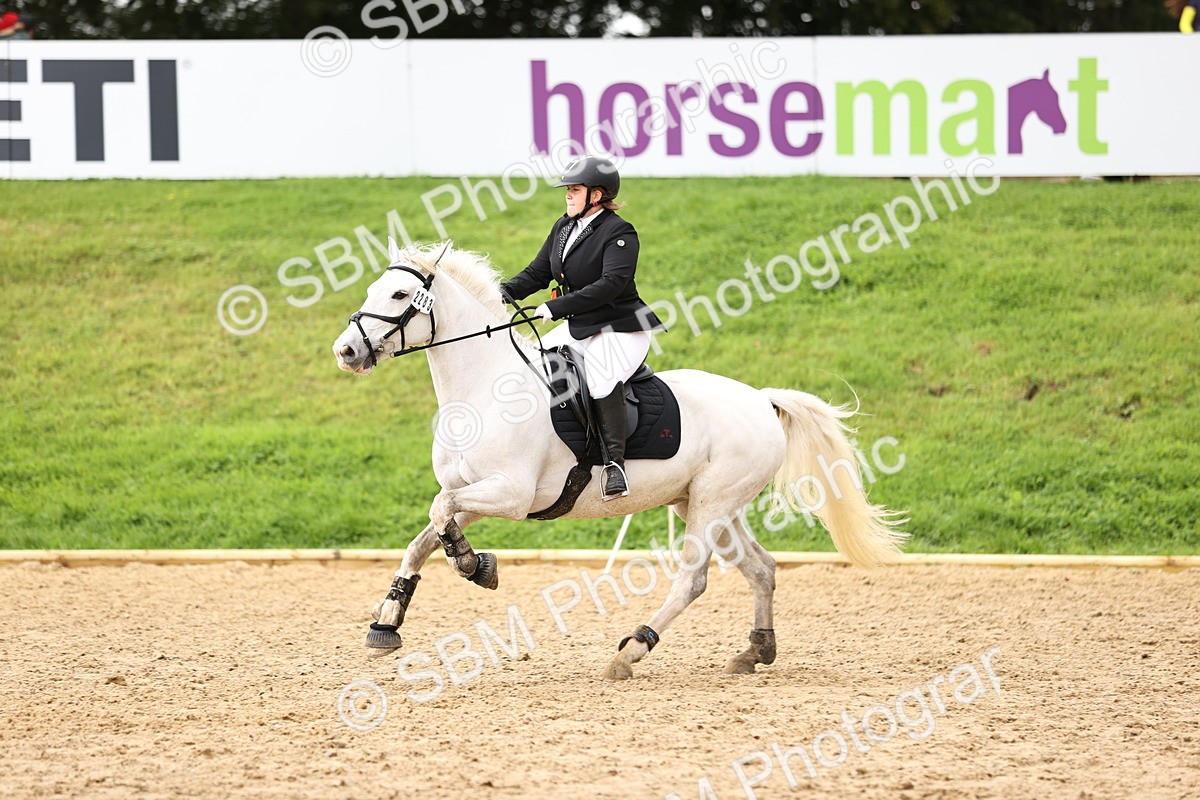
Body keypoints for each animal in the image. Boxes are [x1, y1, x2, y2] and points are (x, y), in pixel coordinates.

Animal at [332, 240, 906, 680]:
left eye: (399, 295)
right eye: (373, 290)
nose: (346, 351)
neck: (483, 390)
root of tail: (762, 399)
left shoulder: (510, 494)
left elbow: (438, 514)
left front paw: (475, 566)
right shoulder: (479, 492)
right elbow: (428, 532)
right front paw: (389, 618)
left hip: (712, 504)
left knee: (693, 581)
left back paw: (632, 650)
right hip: (708, 505)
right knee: (761, 568)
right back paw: (755, 651)